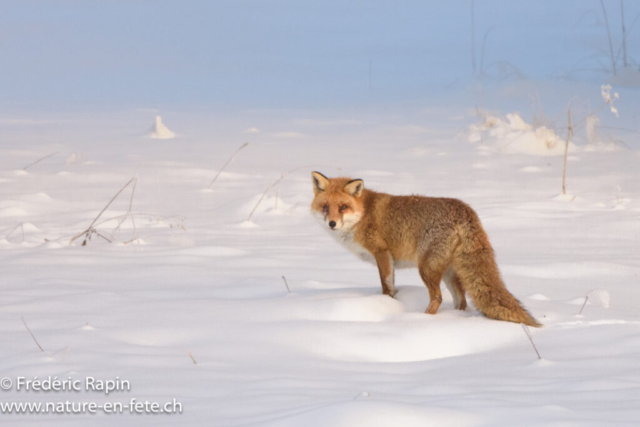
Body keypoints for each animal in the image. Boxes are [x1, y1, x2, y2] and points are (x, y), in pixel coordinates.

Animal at [310, 171, 541, 327]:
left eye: (343, 207)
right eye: (325, 207)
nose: (332, 223)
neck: (363, 213)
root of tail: (465, 210)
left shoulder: (382, 253)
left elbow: (387, 287)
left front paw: (387, 306)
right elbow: (391, 286)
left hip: (427, 269)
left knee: (438, 298)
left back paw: (422, 320)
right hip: (448, 272)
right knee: (461, 300)